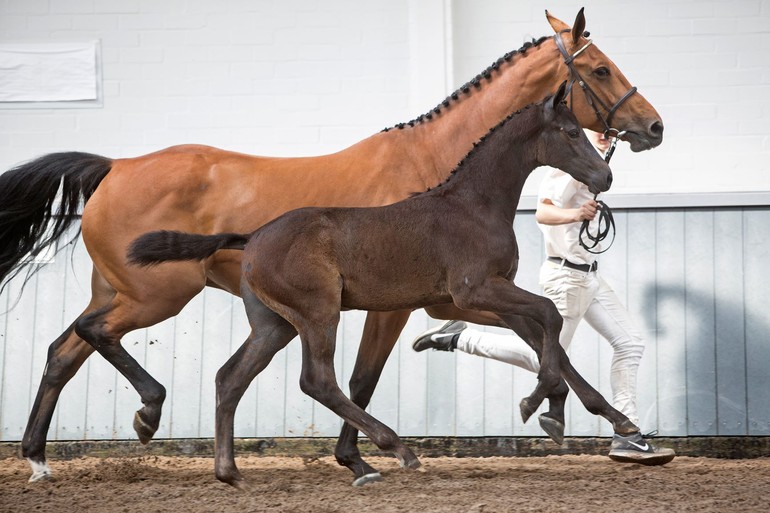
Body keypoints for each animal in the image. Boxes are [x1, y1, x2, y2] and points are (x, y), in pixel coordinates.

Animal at [1, 10, 660, 486]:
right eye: (599, 68)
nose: (653, 127)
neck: (445, 178)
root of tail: (114, 166)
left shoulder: (453, 299)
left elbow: (550, 342)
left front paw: (608, 422)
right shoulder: (415, 302)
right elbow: (365, 377)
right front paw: (362, 458)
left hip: (140, 293)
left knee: (65, 350)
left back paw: (41, 457)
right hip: (162, 296)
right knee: (98, 337)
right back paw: (148, 411)